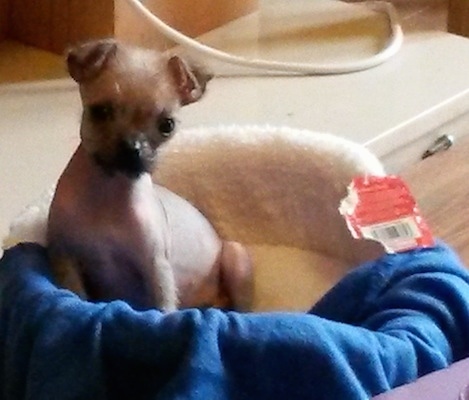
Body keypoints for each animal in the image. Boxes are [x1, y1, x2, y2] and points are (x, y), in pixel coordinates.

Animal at [47, 39, 252, 312]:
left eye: (167, 125)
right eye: (100, 112)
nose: (132, 148)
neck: (107, 194)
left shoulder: (156, 267)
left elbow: (164, 308)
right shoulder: (66, 257)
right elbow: (75, 294)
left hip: (235, 257)